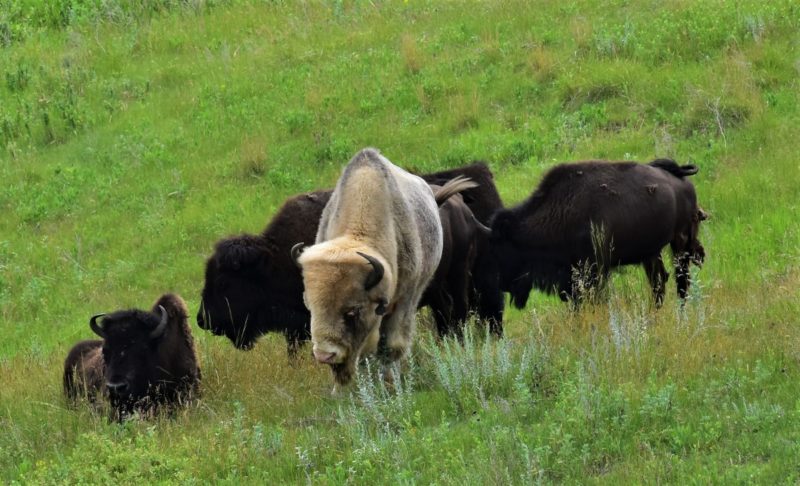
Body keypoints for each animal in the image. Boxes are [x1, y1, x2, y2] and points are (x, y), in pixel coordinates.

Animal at [296, 148, 476, 388]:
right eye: (311, 307)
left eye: (353, 311)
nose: (325, 355)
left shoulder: (405, 300)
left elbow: (392, 345)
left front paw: (391, 383)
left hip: (453, 275)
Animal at [488, 159, 708, 310]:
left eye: (504, 247)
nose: (503, 284)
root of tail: (683, 180)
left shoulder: (593, 271)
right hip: (652, 253)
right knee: (659, 281)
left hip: (680, 243)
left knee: (681, 280)